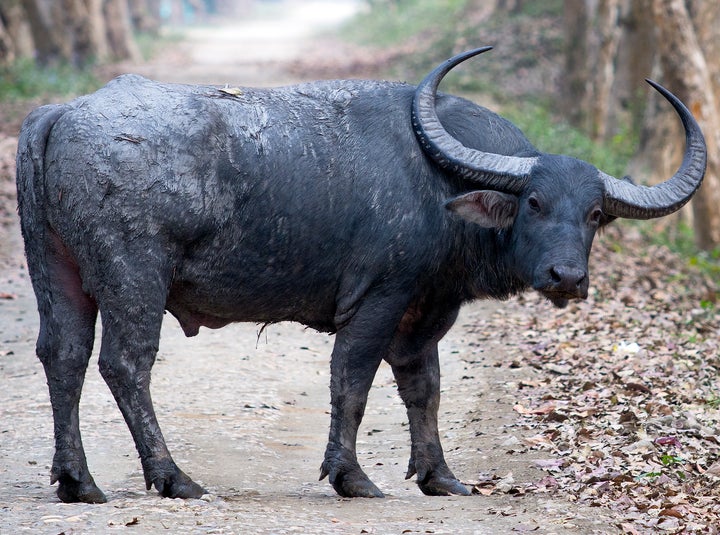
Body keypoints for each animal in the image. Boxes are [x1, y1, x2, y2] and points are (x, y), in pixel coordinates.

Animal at [15, 47, 704, 502]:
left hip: (57, 270)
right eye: (533, 202)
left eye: (594, 214)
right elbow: (352, 383)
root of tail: (62, 114)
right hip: (135, 277)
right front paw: (351, 476)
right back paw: (173, 477)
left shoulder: (425, 311)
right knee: (125, 363)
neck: (439, 185)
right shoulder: (377, 300)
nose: (566, 277)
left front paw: (440, 476)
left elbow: (424, 388)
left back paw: (77, 481)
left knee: (63, 355)